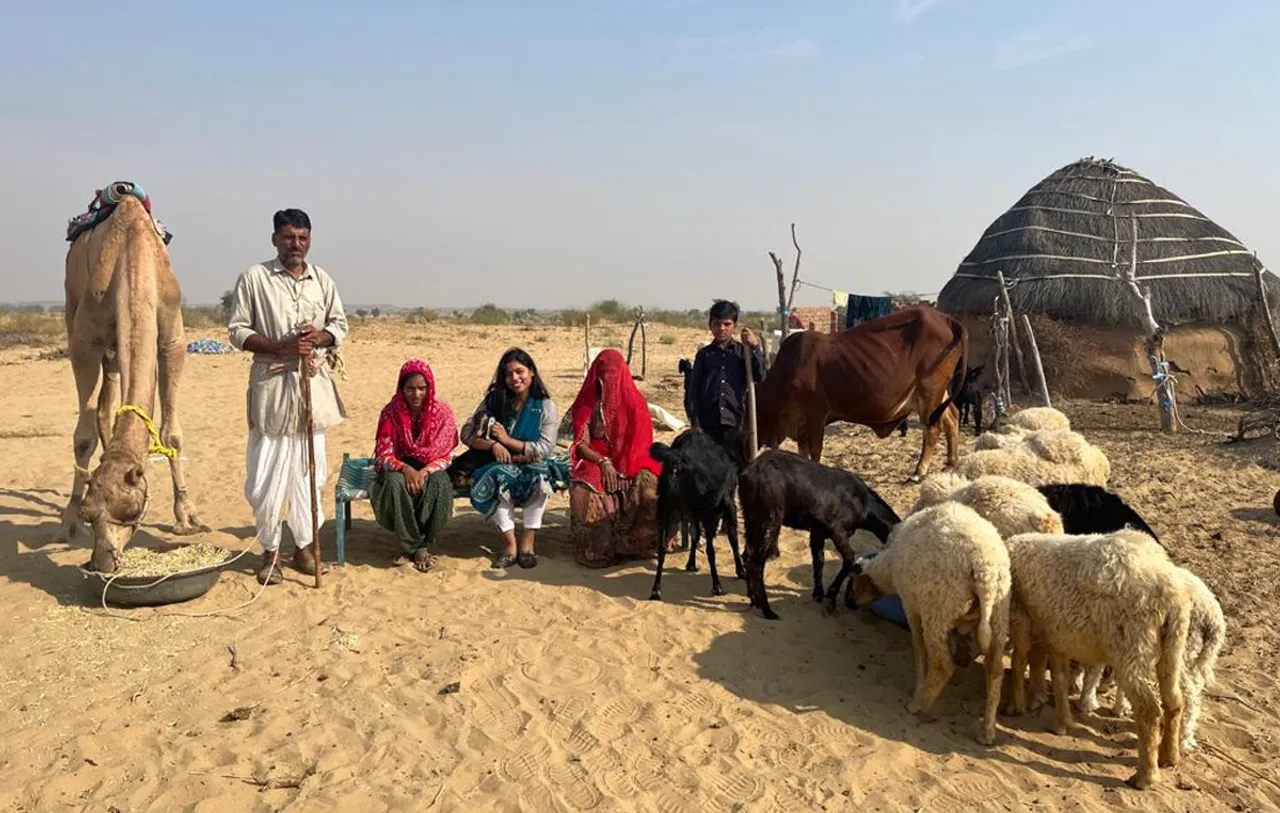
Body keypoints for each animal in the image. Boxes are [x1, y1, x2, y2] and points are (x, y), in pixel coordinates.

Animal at [61, 192, 207, 573]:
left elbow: (171, 434)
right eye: (90, 514)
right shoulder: (84, 341)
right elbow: (82, 438)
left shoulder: (172, 337)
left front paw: (187, 516)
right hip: (71, 306)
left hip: (115, 351)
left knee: (108, 401)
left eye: (130, 510)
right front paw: (70, 516)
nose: (103, 561)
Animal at [645, 430, 747, 601]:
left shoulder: (693, 512)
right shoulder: (727, 504)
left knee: (662, 547)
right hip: (708, 513)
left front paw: (691, 564)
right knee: (710, 550)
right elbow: (732, 538)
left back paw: (656, 590)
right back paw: (717, 586)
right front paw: (741, 571)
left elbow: (695, 534)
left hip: (665, 509)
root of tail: (678, 460)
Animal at [737, 455, 906, 619]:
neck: (863, 502)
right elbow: (849, 559)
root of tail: (747, 474)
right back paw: (767, 610)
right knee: (756, 563)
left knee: (746, 556)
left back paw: (753, 599)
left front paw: (818, 594)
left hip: (752, 520)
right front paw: (830, 596)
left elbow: (819, 560)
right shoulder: (837, 531)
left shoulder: (818, 532)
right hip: (768, 521)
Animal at [752, 304, 962, 483]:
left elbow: (815, 452)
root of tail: (946, 319)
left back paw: (919, 472)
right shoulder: (801, 424)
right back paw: (950, 465)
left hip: (929, 390)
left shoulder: (815, 416)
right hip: (938, 394)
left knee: (932, 429)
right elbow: (803, 452)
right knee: (952, 418)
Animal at [998, 527, 1198, 788]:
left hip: (1131, 647)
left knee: (1148, 710)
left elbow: (1020, 660)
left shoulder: (1020, 615)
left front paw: (1016, 707)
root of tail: (1171, 594)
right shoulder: (1058, 634)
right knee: (1174, 701)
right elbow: (1059, 678)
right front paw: (1062, 723)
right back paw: (1169, 757)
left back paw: (1145, 776)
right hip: (1172, 647)